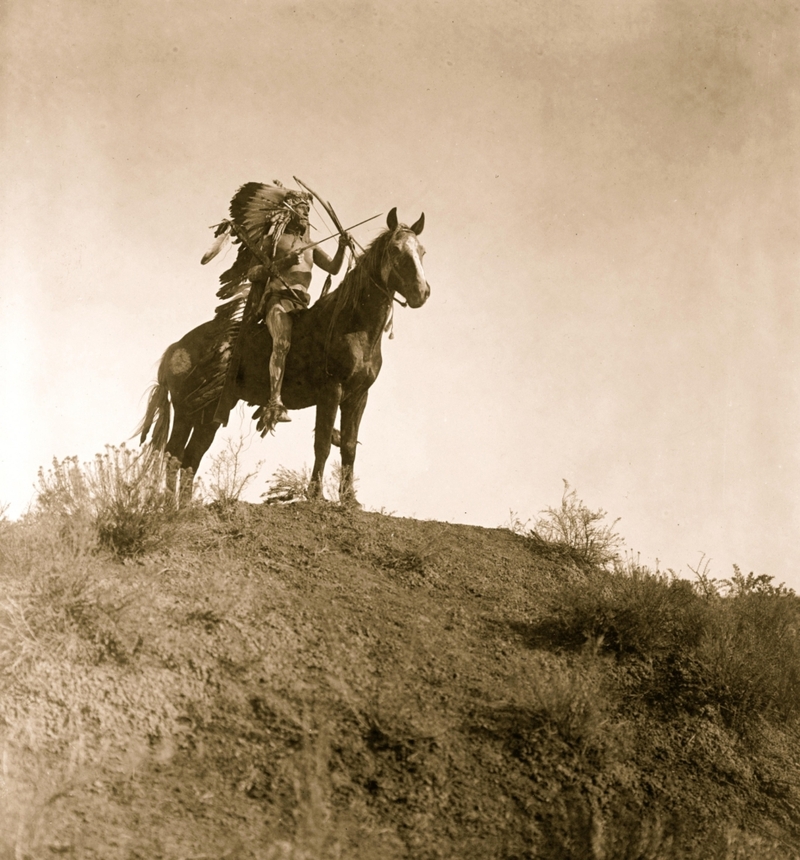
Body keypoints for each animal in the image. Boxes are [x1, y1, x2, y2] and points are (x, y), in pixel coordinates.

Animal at [136, 208, 432, 504]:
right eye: (395, 250)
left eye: (422, 251)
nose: (422, 292)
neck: (351, 324)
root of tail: (176, 348)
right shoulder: (331, 390)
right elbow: (322, 443)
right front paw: (316, 495)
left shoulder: (358, 396)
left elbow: (348, 446)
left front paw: (349, 500)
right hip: (186, 411)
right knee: (174, 454)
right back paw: (169, 506)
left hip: (209, 414)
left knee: (190, 458)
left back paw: (183, 506)